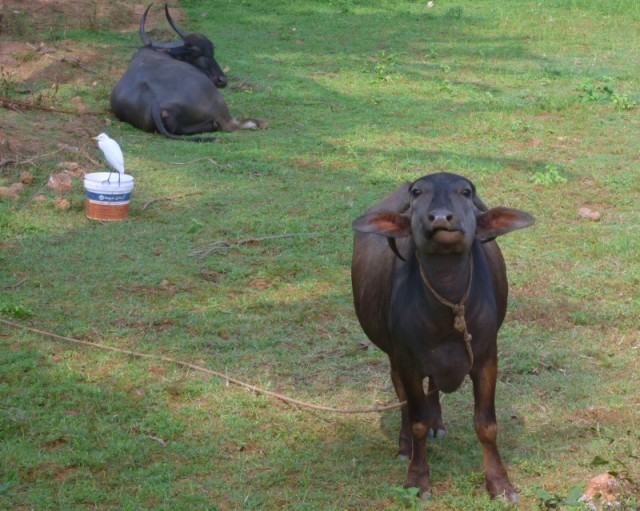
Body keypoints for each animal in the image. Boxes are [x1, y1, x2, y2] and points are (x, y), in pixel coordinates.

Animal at [110, 4, 267, 142]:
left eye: (211, 50)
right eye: (195, 53)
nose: (222, 80)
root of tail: (156, 102)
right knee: (230, 125)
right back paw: (259, 123)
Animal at [351, 172, 535, 501]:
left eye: (466, 191)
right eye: (417, 192)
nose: (439, 218)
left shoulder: (487, 359)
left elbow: (486, 425)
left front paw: (500, 484)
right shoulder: (408, 361)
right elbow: (417, 421)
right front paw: (417, 479)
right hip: (394, 355)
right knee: (403, 395)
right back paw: (405, 445)